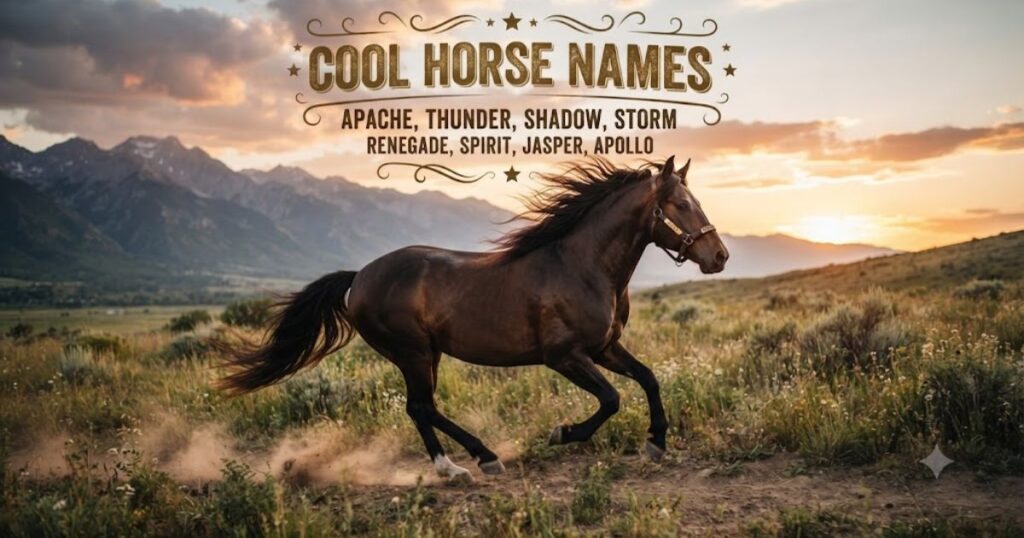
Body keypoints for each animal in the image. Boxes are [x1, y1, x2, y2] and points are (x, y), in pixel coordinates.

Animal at [218, 156, 728, 482]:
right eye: (683, 205)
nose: (719, 256)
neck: (580, 264)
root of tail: (358, 276)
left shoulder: (604, 347)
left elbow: (648, 379)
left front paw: (656, 442)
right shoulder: (564, 356)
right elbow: (611, 399)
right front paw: (563, 433)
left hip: (426, 354)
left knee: (420, 408)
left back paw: (466, 462)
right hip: (413, 352)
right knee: (421, 407)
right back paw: (472, 462)